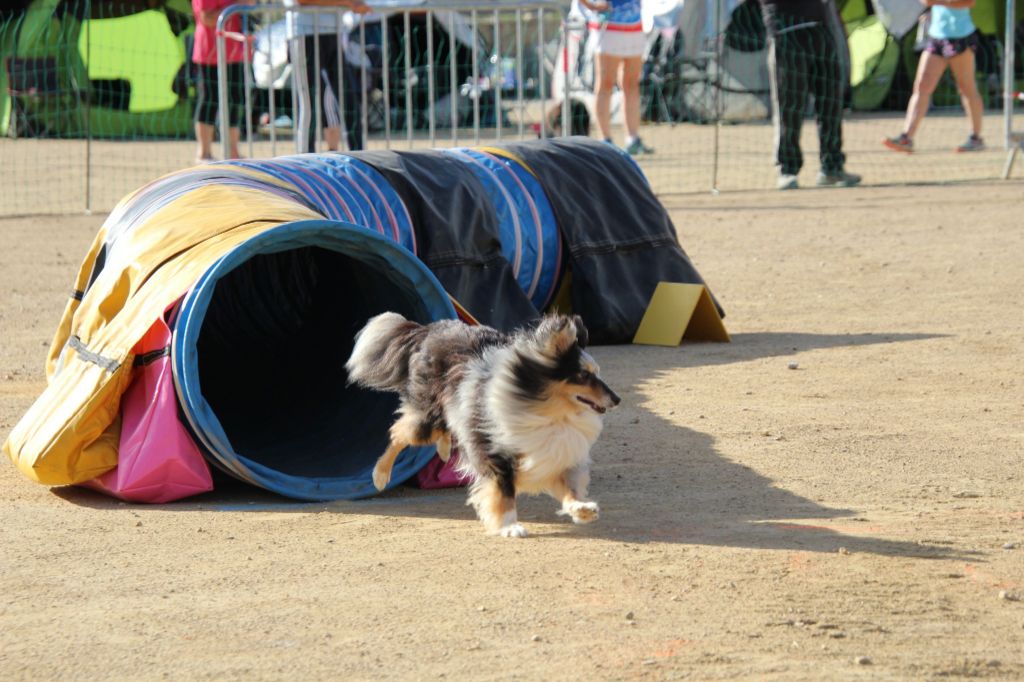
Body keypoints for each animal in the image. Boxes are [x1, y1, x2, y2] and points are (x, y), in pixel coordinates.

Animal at [344, 311, 618, 536]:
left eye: (597, 373)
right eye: (583, 375)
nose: (617, 399)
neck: (547, 412)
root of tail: (429, 330)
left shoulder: (551, 453)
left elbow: (569, 487)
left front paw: (582, 509)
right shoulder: (493, 452)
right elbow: (504, 492)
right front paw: (510, 526)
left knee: (441, 430)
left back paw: (444, 450)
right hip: (427, 418)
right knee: (399, 433)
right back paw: (380, 476)